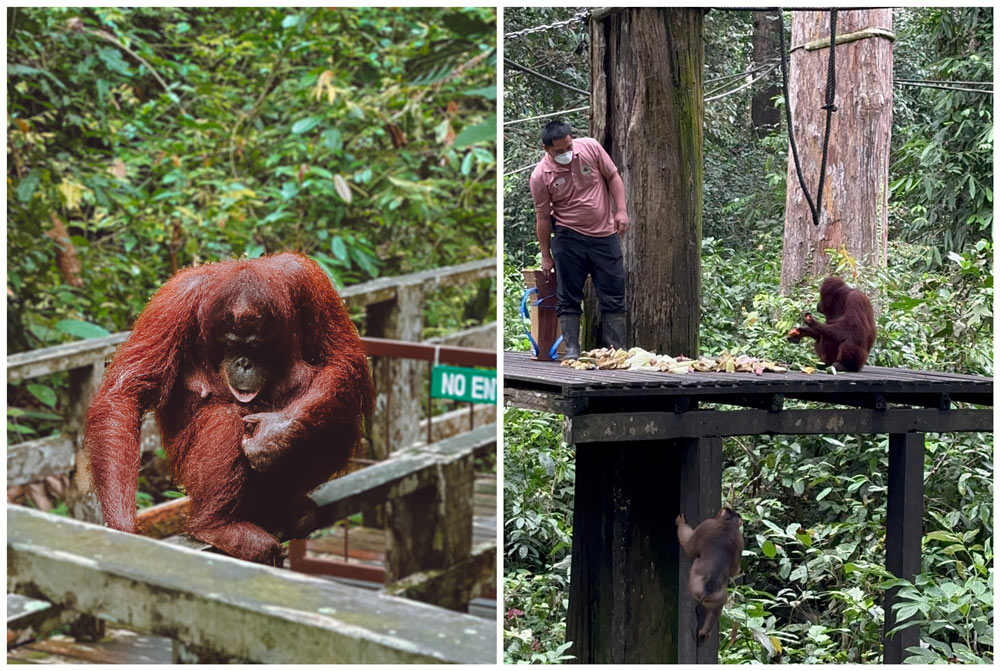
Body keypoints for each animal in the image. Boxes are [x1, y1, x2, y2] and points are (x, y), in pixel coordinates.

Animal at [676, 510, 748, 640]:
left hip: (694, 586)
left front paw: (680, 522)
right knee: (718, 607)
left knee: (695, 560)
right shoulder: (741, 541)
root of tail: (707, 590)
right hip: (716, 597)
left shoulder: (706, 524)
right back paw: (705, 632)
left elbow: (689, 547)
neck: (728, 524)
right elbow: (734, 571)